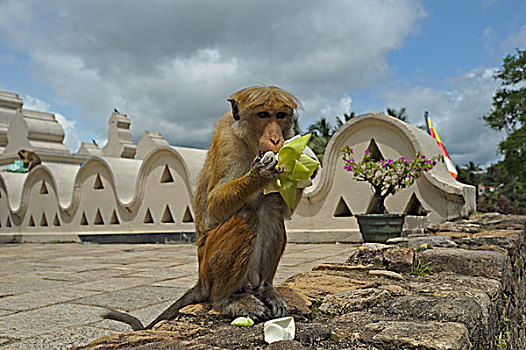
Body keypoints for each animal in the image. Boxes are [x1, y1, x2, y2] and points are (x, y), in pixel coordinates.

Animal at [104, 85, 318, 330]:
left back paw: (265, 289)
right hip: (209, 267)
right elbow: (214, 206)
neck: (248, 142)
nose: (275, 139)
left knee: (271, 216)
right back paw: (224, 300)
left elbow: (282, 209)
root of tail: (202, 281)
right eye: (263, 115)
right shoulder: (227, 142)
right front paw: (259, 175)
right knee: (246, 217)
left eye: (280, 115)